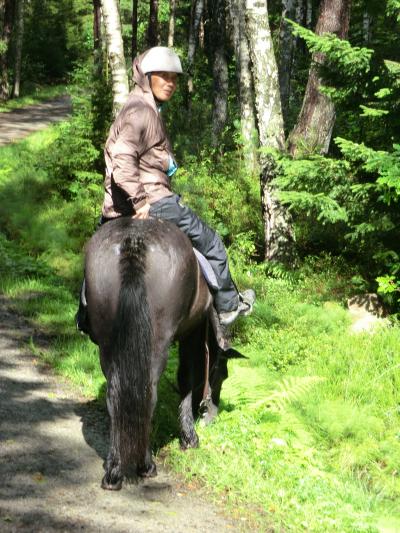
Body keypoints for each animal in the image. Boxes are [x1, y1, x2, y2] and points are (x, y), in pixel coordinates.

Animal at [83, 214, 236, 488]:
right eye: (223, 374)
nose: (211, 417)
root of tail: (134, 241)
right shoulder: (192, 331)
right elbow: (187, 377)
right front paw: (189, 437)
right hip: (158, 342)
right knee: (149, 396)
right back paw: (145, 465)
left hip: (109, 339)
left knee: (114, 394)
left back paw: (114, 470)